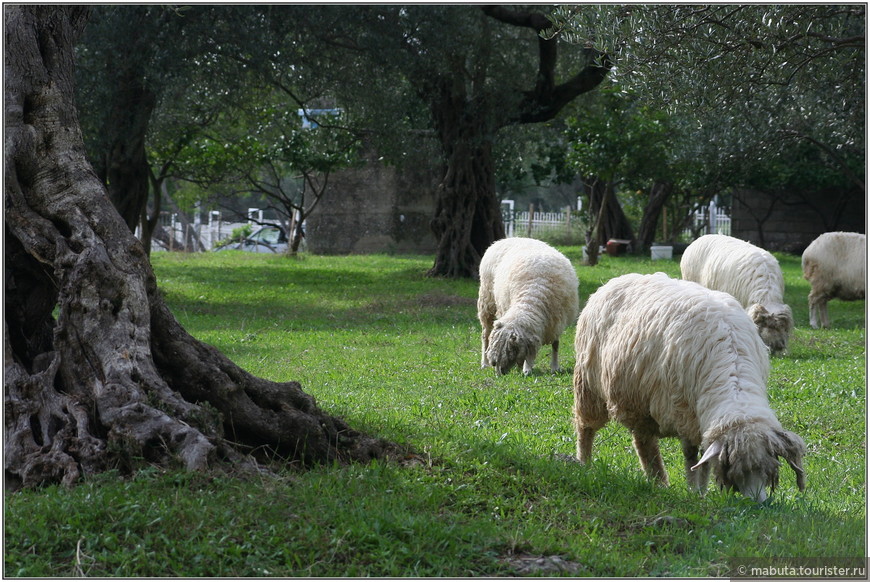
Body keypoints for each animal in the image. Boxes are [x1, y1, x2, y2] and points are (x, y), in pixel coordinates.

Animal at [476, 240, 580, 376]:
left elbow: (555, 345)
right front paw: (527, 369)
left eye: (510, 350)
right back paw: (484, 363)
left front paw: (554, 367)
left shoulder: (556, 322)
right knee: (485, 335)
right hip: (487, 301)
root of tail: (499, 241)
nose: (499, 374)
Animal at [576, 274, 808, 506]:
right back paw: (585, 463)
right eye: (733, 470)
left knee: (644, 442)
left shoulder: (701, 422)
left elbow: (704, 459)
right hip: (589, 385)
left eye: (770, 470)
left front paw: (701, 491)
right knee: (586, 427)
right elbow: (691, 457)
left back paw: (658, 481)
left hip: (640, 401)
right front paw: (695, 490)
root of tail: (616, 280)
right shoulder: (684, 413)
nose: (757, 503)